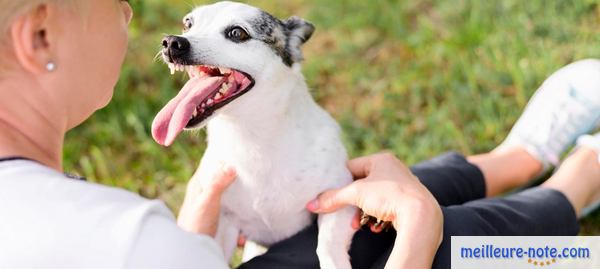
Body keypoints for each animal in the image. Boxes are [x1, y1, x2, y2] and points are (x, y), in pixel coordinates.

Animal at [154, 1, 356, 266]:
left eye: (237, 33)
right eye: (188, 24)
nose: (172, 42)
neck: (251, 136)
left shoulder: (340, 197)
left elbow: (328, 244)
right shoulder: (222, 221)